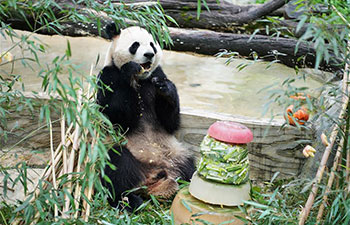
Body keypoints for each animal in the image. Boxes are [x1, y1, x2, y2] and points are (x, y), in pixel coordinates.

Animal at [97, 23, 196, 212]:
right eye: (135, 45)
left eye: (152, 45)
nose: (149, 54)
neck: (141, 80)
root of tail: (152, 179)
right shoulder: (108, 76)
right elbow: (117, 117)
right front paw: (130, 71)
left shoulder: (157, 74)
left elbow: (170, 121)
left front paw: (166, 89)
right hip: (125, 155)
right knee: (117, 165)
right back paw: (129, 201)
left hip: (175, 154)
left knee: (189, 165)